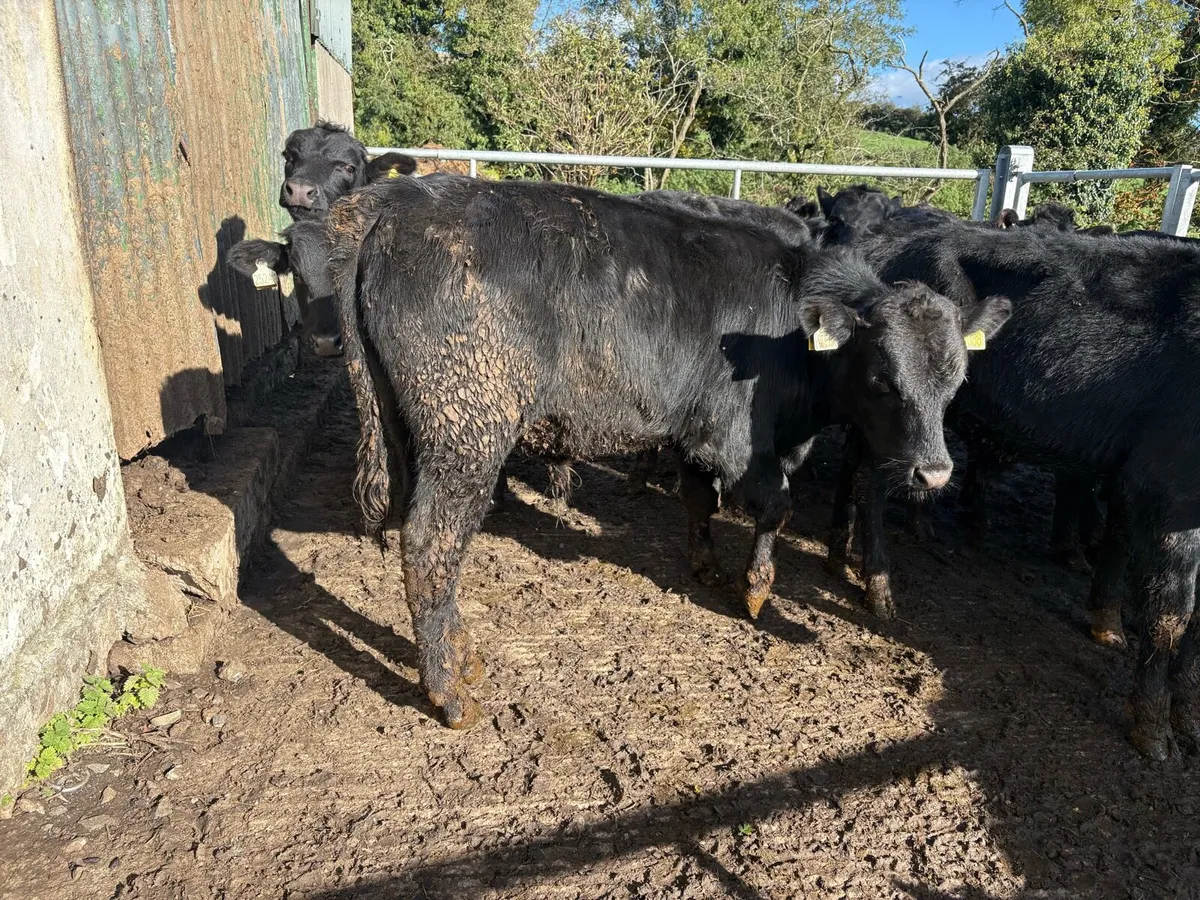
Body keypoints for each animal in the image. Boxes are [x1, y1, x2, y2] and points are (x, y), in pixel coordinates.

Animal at [324, 173, 1010, 729]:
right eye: (881, 378)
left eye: (956, 380)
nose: (934, 472)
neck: (788, 323)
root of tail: (397, 199)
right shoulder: (736, 439)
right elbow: (776, 506)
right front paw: (755, 590)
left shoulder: (693, 433)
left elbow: (698, 500)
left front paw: (705, 564)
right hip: (467, 432)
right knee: (431, 545)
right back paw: (450, 694)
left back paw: (463, 660)